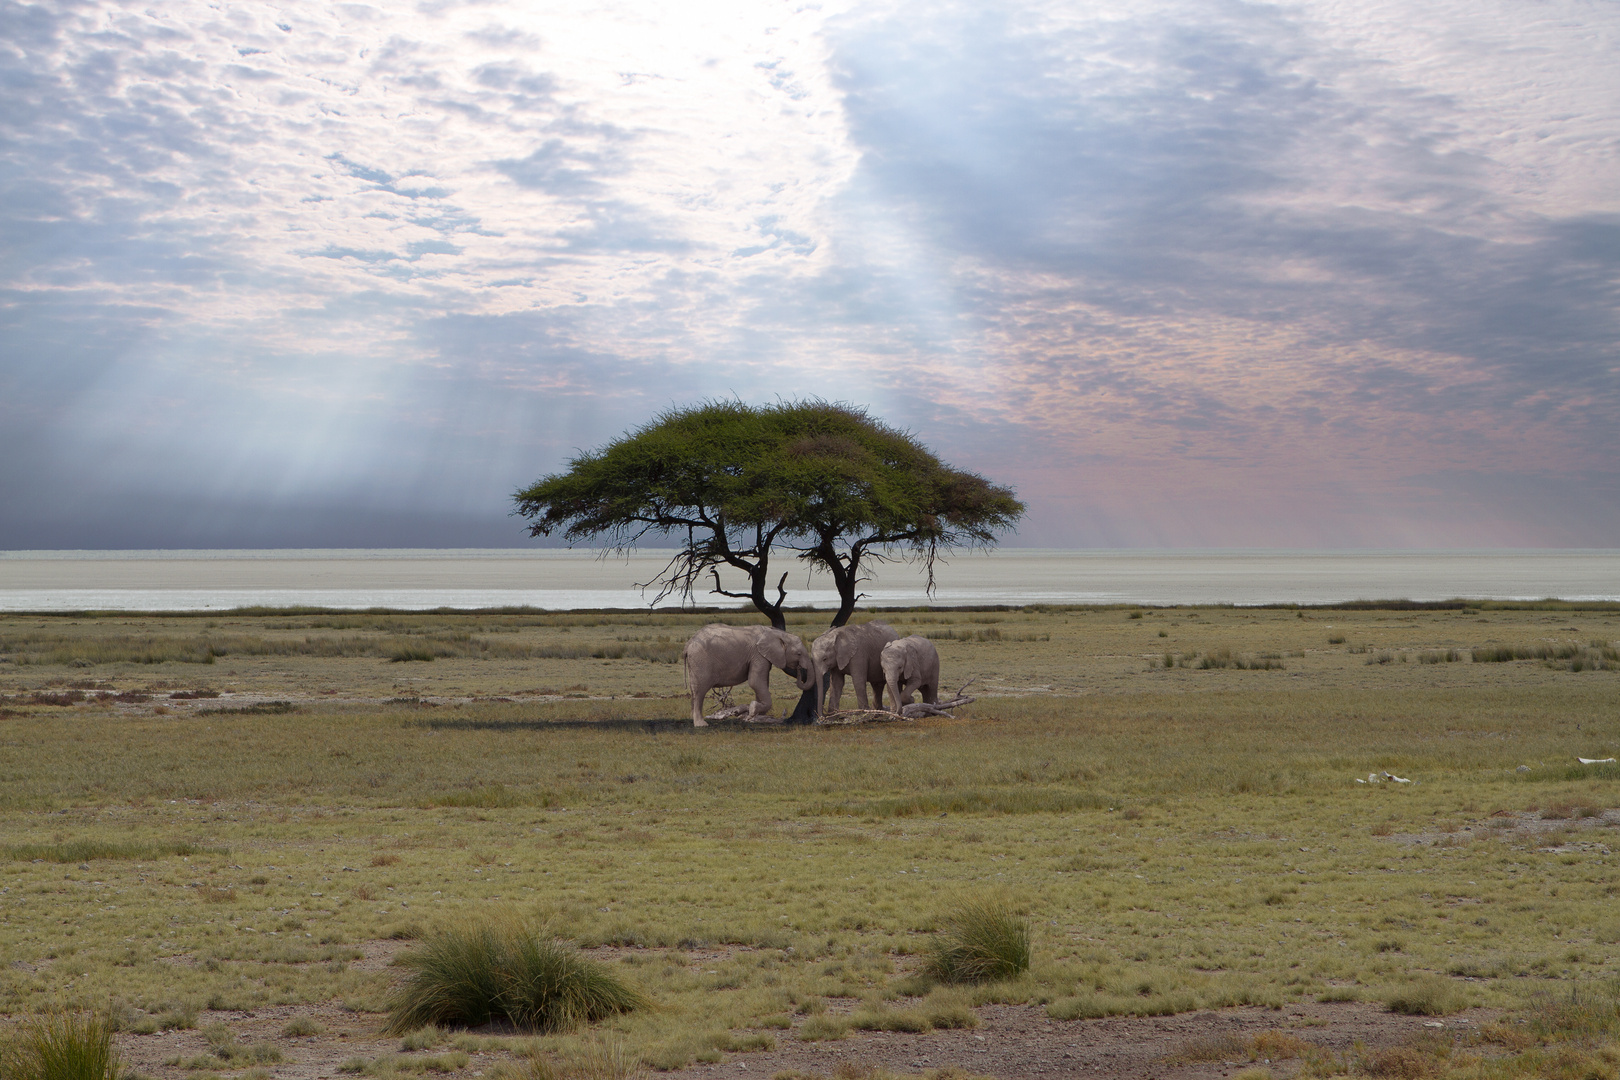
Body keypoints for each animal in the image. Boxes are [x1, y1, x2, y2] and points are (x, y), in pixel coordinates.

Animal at [677, 625, 816, 725]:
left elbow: (763, 683)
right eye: (798, 654)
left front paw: (756, 716)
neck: (776, 633)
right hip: (700, 661)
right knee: (700, 691)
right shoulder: (758, 655)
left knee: (694, 691)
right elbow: (755, 682)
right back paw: (701, 725)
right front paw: (752, 709)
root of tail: (688, 644)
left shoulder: (763, 657)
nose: (799, 669)